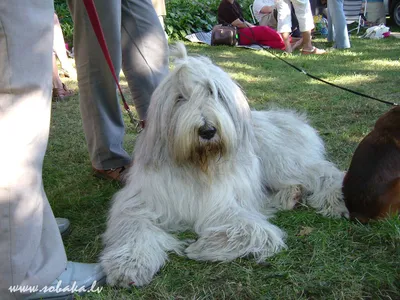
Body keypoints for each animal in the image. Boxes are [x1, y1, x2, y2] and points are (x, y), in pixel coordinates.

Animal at [101, 43, 348, 288]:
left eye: (215, 93)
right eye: (181, 98)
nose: (207, 130)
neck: (197, 166)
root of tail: (292, 119)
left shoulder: (225, 204)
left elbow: (254, 230)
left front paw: (199, 247)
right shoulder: (142, 202)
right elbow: (134, 227)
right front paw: (129, 265)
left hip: (282, 162)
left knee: (325, 173)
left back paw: (336, 200)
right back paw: (291, 197)